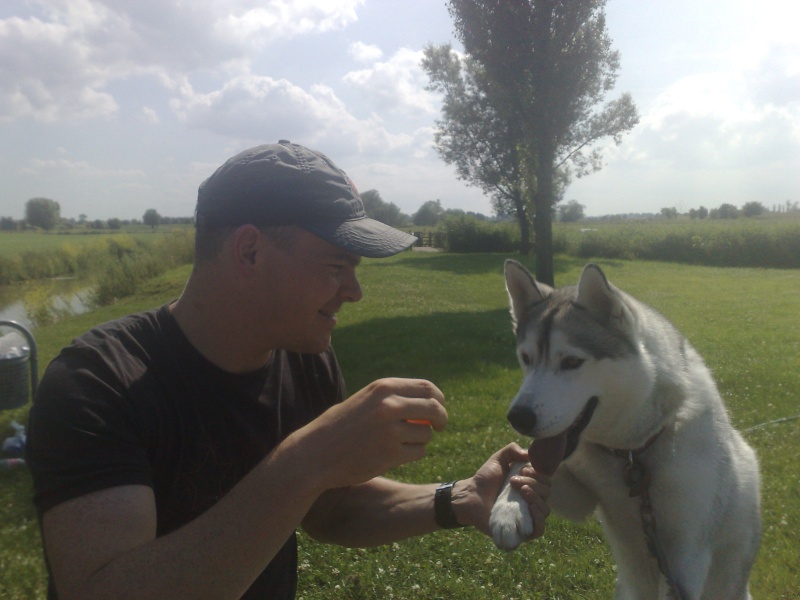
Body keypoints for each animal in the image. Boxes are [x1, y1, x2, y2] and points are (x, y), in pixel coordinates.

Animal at [490, 262, 760, 600]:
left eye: (572, 361)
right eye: (526, 359)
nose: (518, 417)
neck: (632, 452)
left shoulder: (686, 555)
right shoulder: (581, 496)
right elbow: (521, 460)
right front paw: (508, 509)